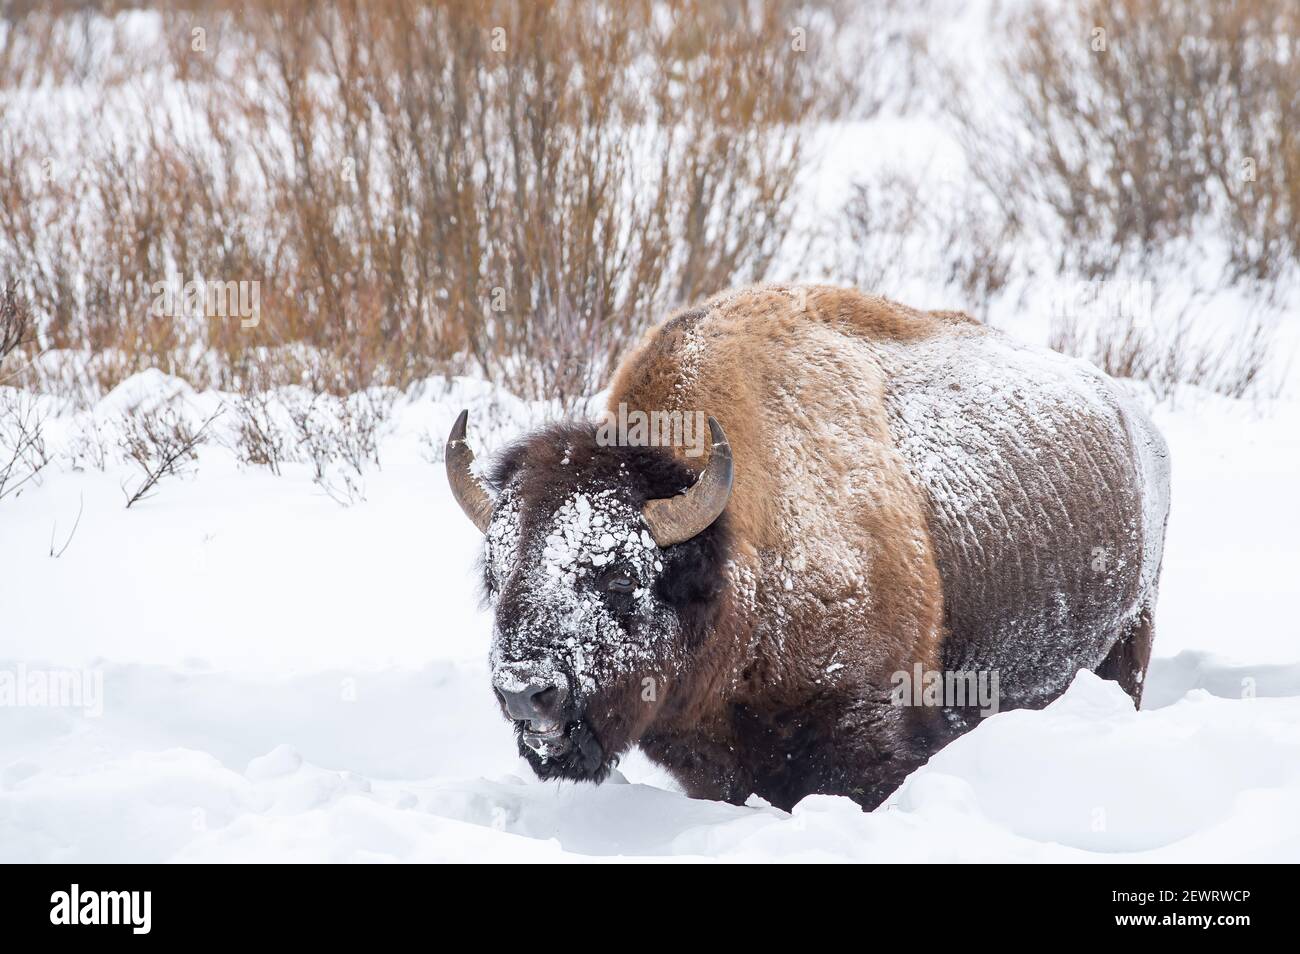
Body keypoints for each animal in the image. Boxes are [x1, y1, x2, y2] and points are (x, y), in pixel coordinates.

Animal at [444, 285, 1170, 816]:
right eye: (496, 576)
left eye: (620, 576)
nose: (525, 692)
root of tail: (1133, 416)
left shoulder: (867, 742)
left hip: (1128, 645)